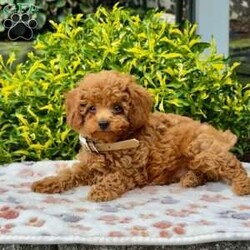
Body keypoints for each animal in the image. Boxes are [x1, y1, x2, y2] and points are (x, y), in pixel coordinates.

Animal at [31, 70, 250, 201]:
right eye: (92, 108)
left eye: (117, 107)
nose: (103, 123)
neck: (110, 144)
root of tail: (217, 134)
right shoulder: (88, 166)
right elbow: (68, 174)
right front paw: (47, 183)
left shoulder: (132, 170)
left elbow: (115, 177)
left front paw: (100, 191)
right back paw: (190, 179)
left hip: (200, 149)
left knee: (233, 164)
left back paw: (243, 185)